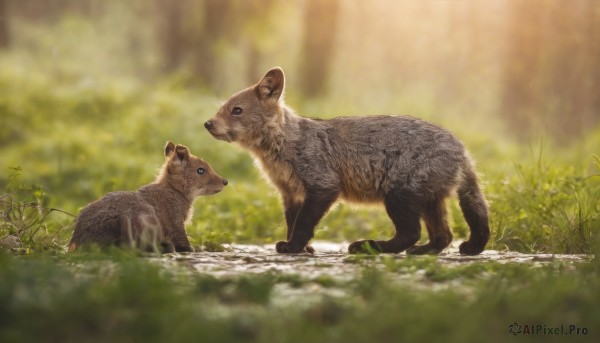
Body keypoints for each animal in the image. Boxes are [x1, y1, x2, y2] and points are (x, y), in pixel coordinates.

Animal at [204, 68, 490, 255]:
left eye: (236, 110)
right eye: (221, 109)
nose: (207, 124)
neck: (286, 145)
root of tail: (462, 149)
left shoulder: (323, 186)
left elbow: (303, 223)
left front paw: (294, 247)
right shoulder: (291, 193)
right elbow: (293, 222)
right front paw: (303, 248)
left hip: (399, 196)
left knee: (411, 233)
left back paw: (369, 247)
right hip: (429, 200)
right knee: (443, 236)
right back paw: (425, 251)